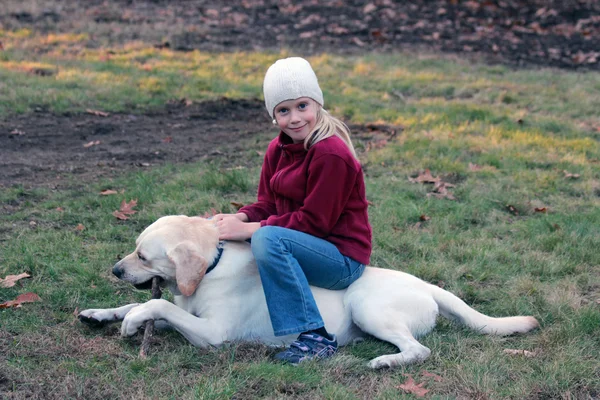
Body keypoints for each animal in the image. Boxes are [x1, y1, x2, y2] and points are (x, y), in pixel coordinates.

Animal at [79, 216, 540, 368]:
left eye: (143, 255)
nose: (115, 269)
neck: (211, 265)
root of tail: (426, 284)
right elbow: (144, 302)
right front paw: (101, 313)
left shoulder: (212, 335)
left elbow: (155, 304)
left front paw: (133, 321)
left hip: (367, 307)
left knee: (419, 349)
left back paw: (386, 362)